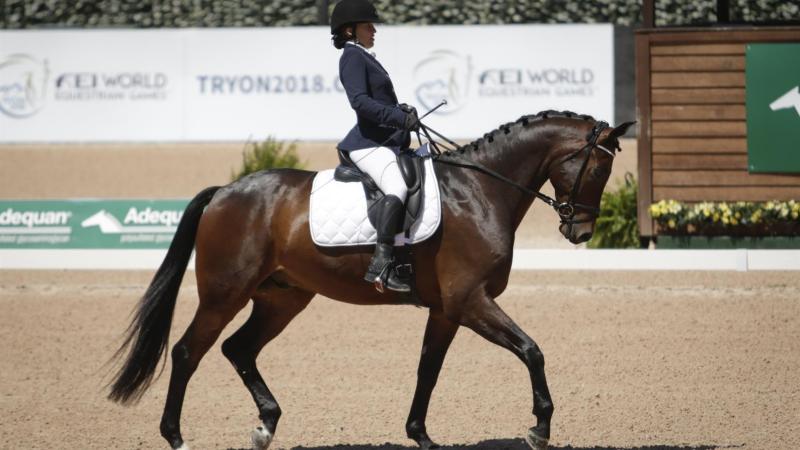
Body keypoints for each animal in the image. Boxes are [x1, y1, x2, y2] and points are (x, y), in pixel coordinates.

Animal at [108, 110, 632, 450]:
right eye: (599, 167)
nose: (581, 231)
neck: (481, 190)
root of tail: (224, 192)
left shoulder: (447, 310)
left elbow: (428, 370)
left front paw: (421, 435)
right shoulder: (470, 301)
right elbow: (531, 350)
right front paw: (539, 428)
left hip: (282, 299)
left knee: (238, 349)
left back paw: (266, 425)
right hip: (224, 294)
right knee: (187, 352)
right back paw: (177, 437)